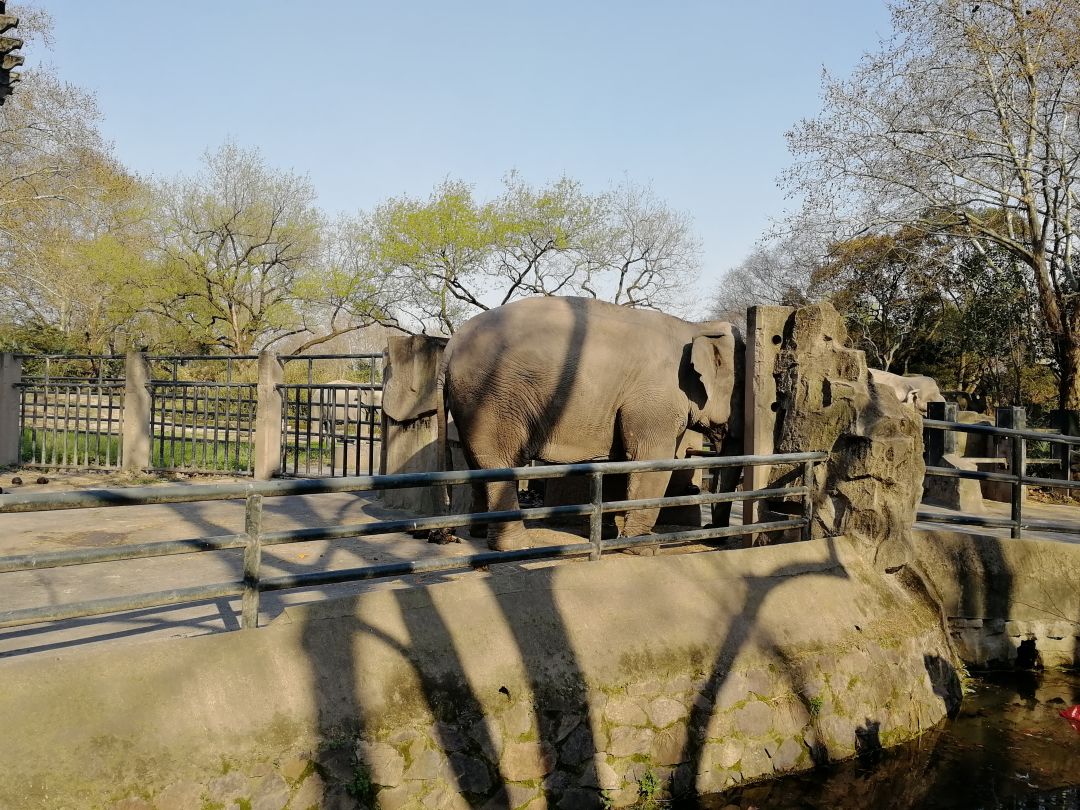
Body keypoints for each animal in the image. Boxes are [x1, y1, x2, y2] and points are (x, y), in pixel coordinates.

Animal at [436, 296, 743, 551]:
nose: (715, 535)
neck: (696, 326)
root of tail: (449, 347)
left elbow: (621, 460)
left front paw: (609, 535)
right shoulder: (656, 399)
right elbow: (650, 458)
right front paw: (643, 546)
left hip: (472, 404)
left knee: (475, 461)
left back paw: (477, 534)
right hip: (494, 398)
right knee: (498, 461)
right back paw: (517, 547)